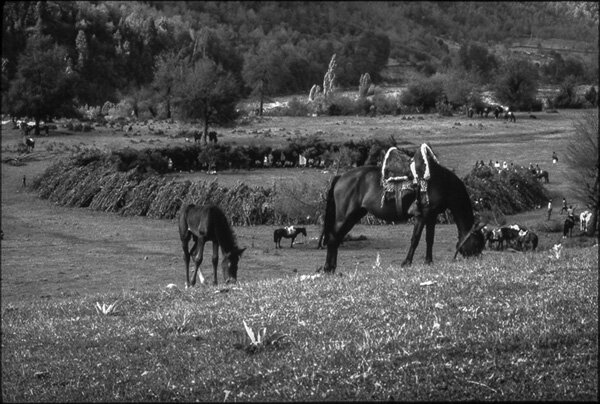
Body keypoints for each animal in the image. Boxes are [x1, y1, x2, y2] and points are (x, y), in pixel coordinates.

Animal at [322, 144, 486, 274]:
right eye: (478, 243)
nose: (477, 261)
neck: (443, 183)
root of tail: (340, 177)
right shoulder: (422, 214)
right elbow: (415, 239)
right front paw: (406, 263)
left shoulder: (431, 215)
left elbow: (430, 239)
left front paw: (428, 261)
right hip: (345, 216)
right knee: (333, 237)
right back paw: (328, 268)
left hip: (355, 214)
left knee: (336, 237)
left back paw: (331, 268)